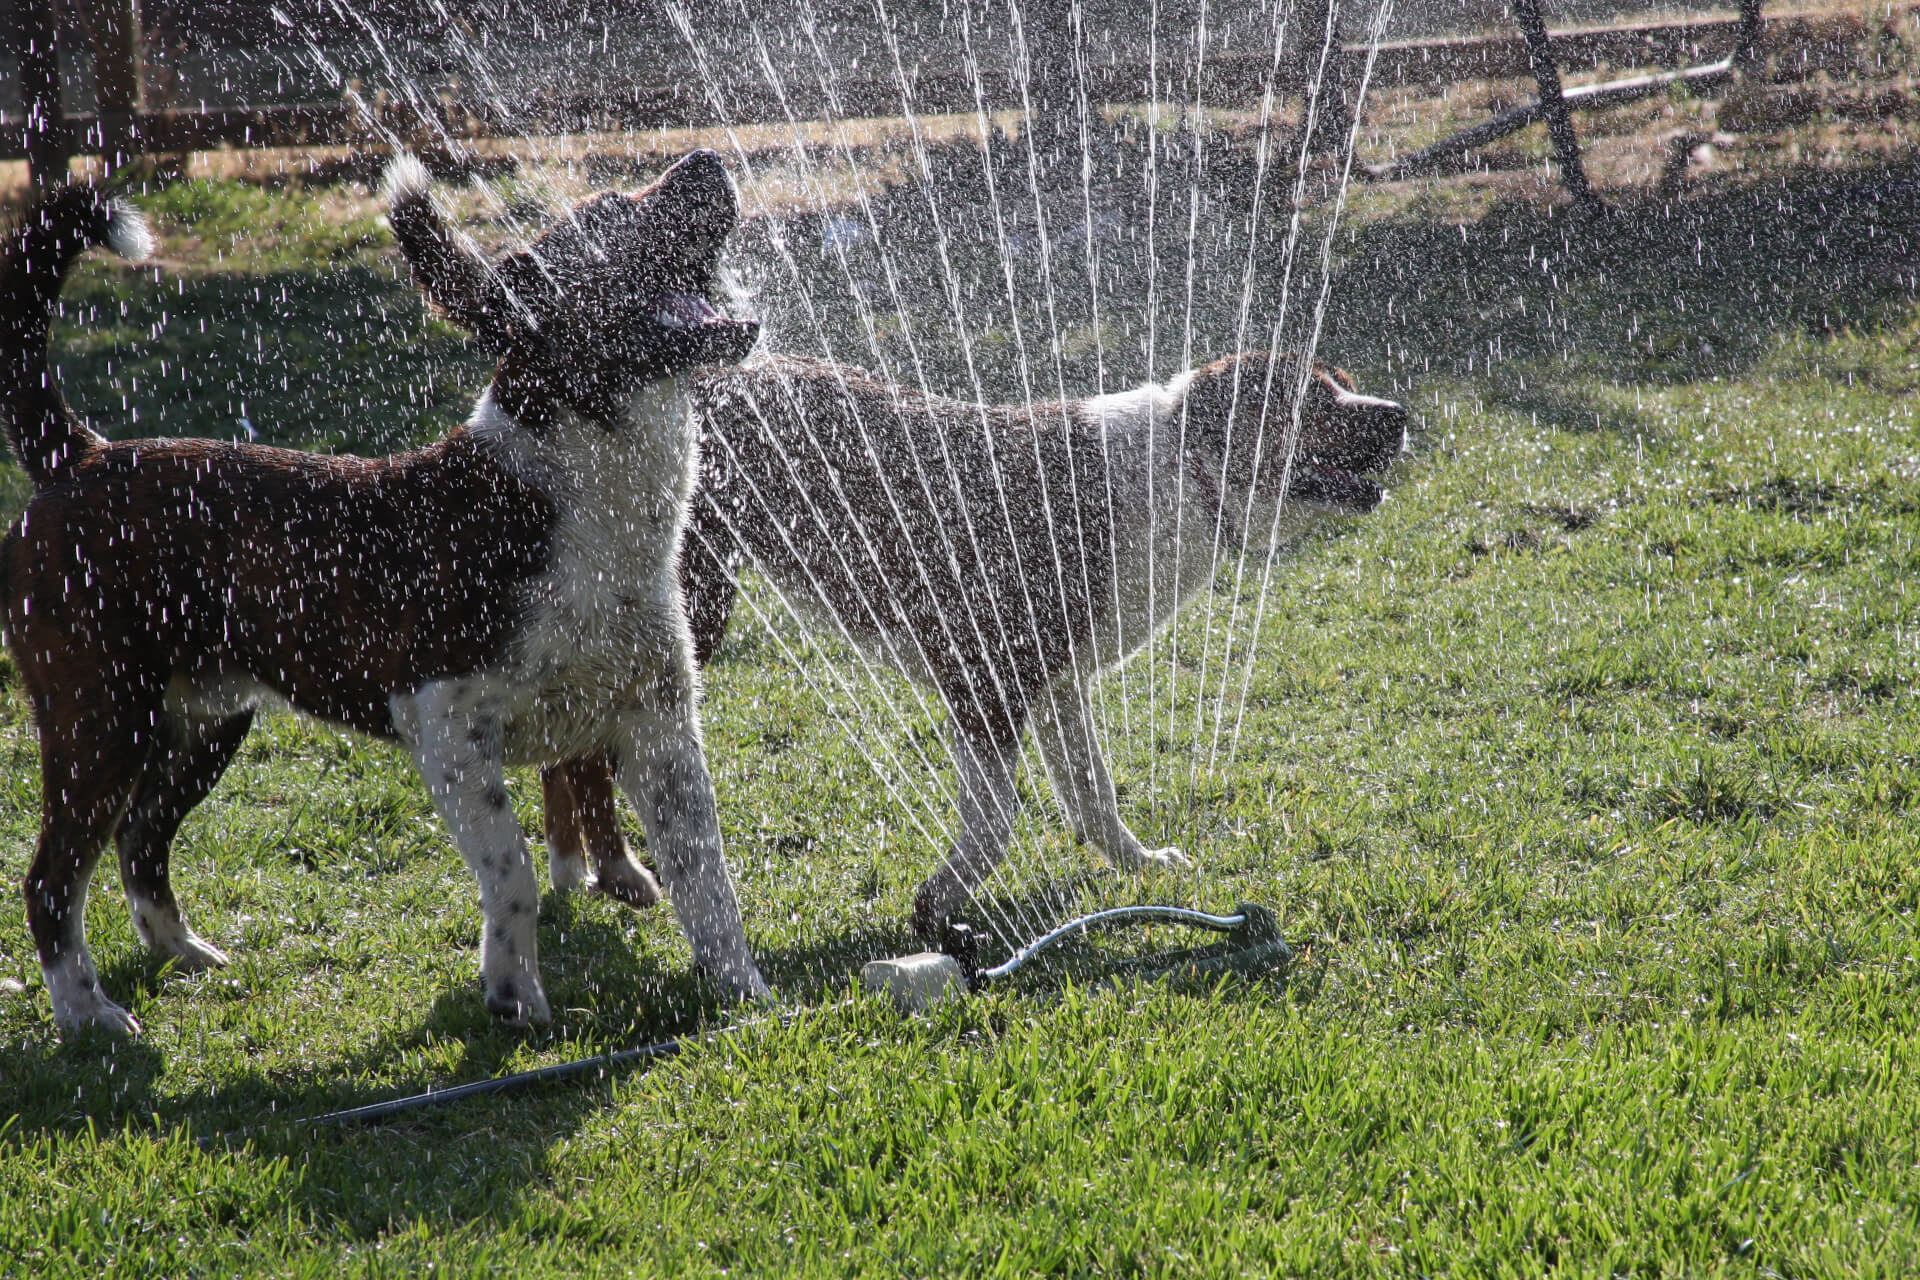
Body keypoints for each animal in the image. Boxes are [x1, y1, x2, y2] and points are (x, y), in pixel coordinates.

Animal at [7, 150, 771, 1036]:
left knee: (140, 839)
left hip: (203, 722)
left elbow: (707, 877)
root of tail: (79, 455)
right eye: (608, 214)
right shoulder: (443, 722)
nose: (708, 160)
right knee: (52, 879)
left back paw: (184, 952)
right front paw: (515, 995)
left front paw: (745, 996)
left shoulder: (658, 724)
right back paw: (88, 1015)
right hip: (100, 720)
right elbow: (512, 870)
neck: (567, 488)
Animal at [541, 351, 1413, 940]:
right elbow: (996, 820)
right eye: (1311, 399)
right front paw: (939, 905)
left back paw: (575, 868)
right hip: (688, 604)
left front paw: (1138, 866)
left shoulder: (1058, 683)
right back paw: (619, 872)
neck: (1177, 470)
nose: (1401, 412)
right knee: (583, 747)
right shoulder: (985, 678)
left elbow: (1093, 794)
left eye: (1340, 383)